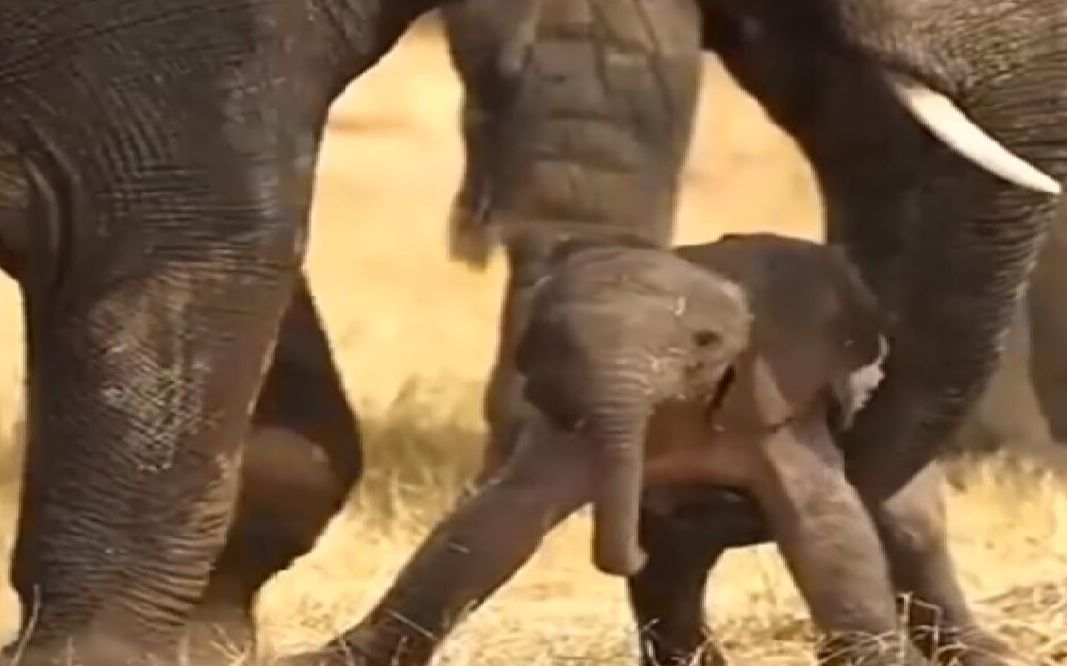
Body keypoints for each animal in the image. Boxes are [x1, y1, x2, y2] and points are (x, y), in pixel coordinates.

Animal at [277, 232, 1015, 666]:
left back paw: (988, 654)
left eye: (705, 344)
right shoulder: (570, 420)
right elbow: (492, 526)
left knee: (908, 526)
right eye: (557, 346)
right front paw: (329, 659)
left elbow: (824, 527)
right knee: (671, 569)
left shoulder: (775, 405)